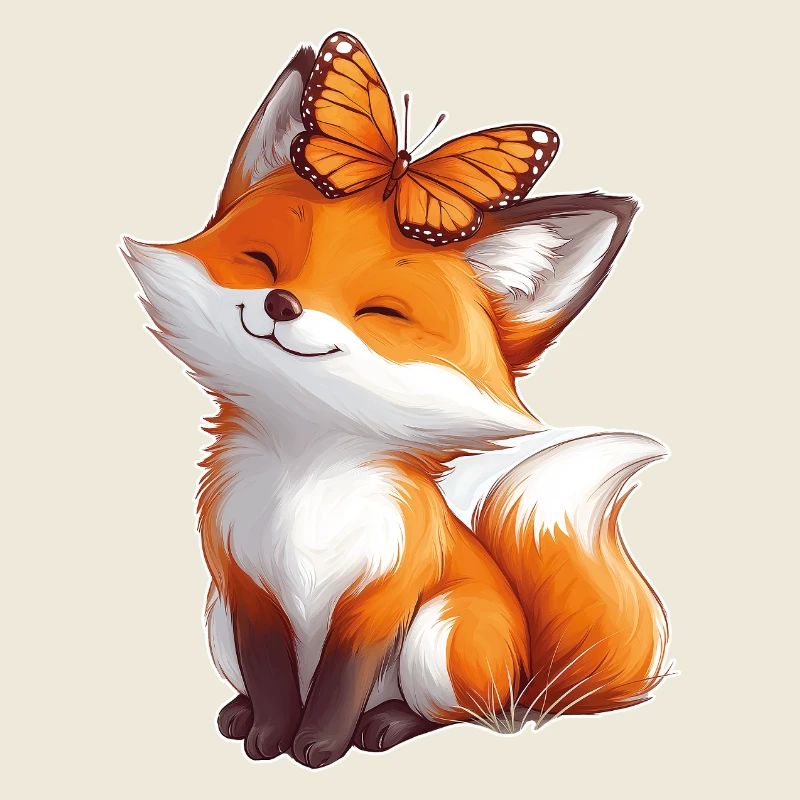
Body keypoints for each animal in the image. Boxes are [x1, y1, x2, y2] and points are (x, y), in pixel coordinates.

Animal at [123, 42, 669, 769]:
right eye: (264, 262)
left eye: (381, 312)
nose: (280, 305)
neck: (304, 487)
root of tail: (529, 677)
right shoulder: (245, 588)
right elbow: (272, 679)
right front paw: (269, 734)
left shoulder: (383, 593)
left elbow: (341, 682)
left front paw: (318, 746)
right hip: (216, 622)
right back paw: (240, 715)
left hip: (439, 639)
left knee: (460, 715)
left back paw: (386, 726)